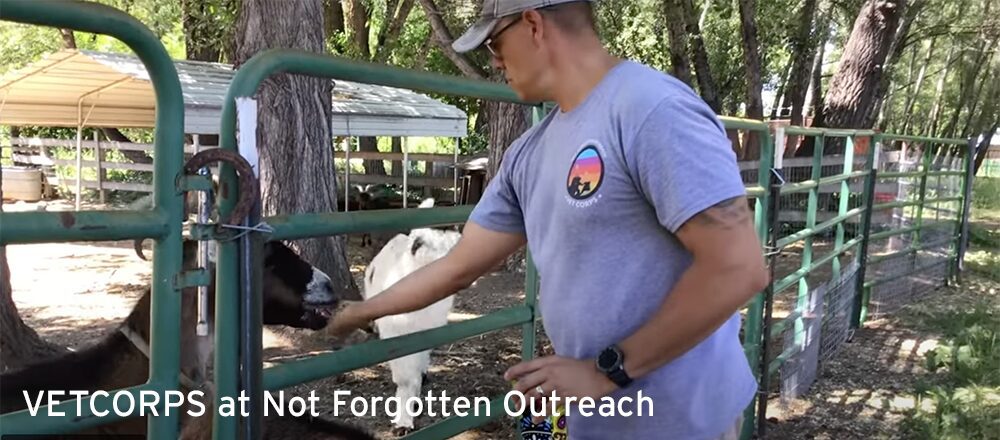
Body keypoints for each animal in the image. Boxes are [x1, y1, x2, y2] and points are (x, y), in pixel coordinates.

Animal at [362, 198, 462, 434]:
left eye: (456, 244)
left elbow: (416, 365)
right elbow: (405, 376)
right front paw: (403, 421)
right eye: (418, 243)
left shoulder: (426, 330)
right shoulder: (395, 330)